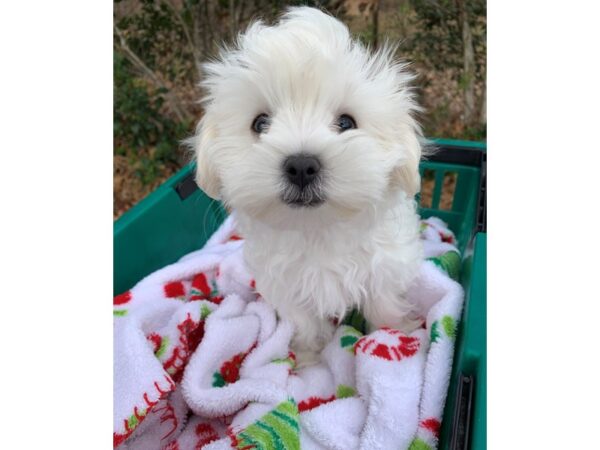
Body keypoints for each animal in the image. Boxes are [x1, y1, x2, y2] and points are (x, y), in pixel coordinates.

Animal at [191, 6, 422, 366]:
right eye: (260, 123)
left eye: (346, 122)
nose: (301, 166)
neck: (317, 229)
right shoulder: (285, 286)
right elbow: (305, 322)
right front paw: (308, 358)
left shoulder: (384, 266)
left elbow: (383, 302)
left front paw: (398, 333)